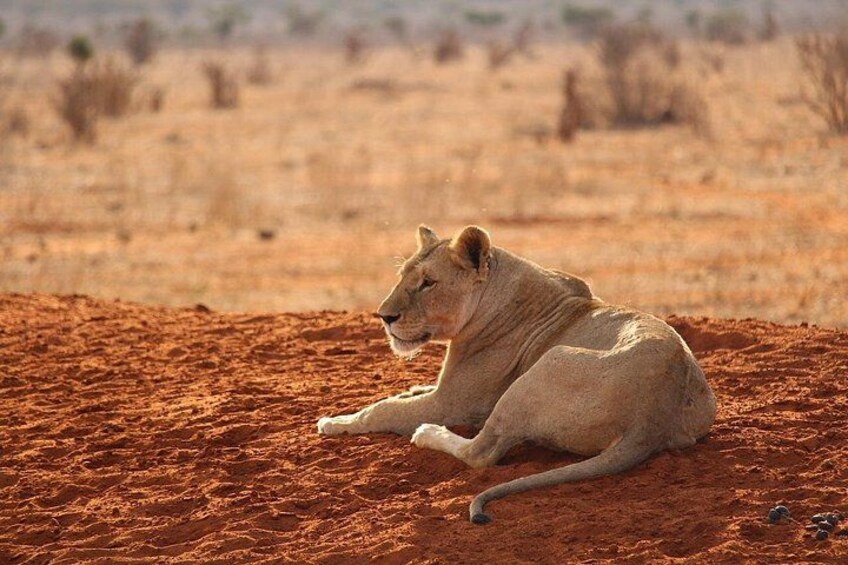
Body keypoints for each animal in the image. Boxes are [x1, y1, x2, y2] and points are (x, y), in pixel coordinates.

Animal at [317, 225, 717, 524]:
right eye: (402, 277)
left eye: (428, 282)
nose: (384, 317)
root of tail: (652, 418)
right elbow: (403, 394)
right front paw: (405, 389)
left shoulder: (453, 403)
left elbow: (382, 409)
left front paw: (335, 422)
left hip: (548, 363)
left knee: (481, 452)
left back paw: (428, 433)